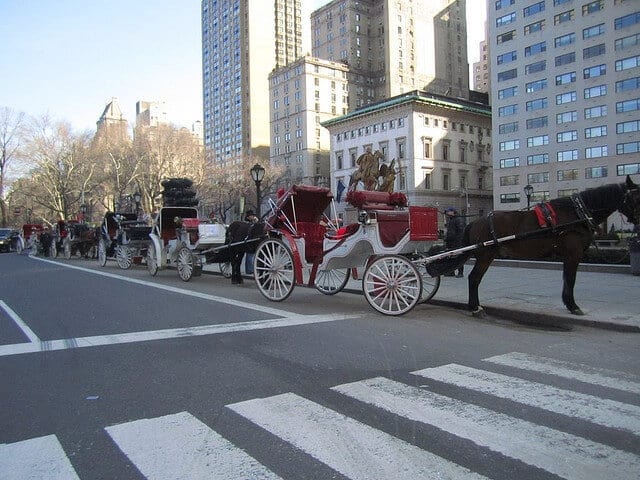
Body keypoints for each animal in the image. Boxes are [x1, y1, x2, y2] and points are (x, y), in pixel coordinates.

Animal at [460, 178, 640, 316]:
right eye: (636, 197)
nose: (638, 222)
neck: (578, 213)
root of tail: (476, 221)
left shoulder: (570, 255)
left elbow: (567, 279)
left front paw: (569, 303)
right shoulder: (573, 253)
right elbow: (570, 279)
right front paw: (573, 306)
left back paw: (474, 305)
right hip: (485, 255)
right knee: (474, 278)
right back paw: (475, 307)